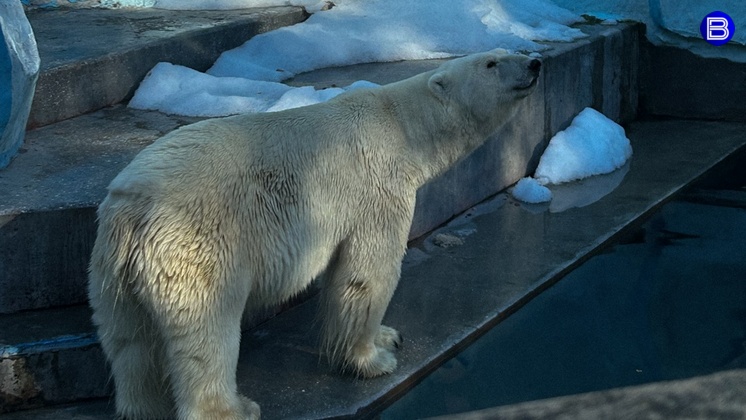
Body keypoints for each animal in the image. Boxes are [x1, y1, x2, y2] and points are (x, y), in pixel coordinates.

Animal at [90, 50, 536, 420]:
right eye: (492, 63)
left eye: (510, 51)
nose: (534, 63)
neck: (403, 128)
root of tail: (134, 208)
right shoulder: (378, 189)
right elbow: (368, 273)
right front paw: (372, 360)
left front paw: (390, 336)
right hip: (199, 245)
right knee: (206, 330)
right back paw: (235, 409)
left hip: (113, 267)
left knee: (131, 342)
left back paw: (145, 405)